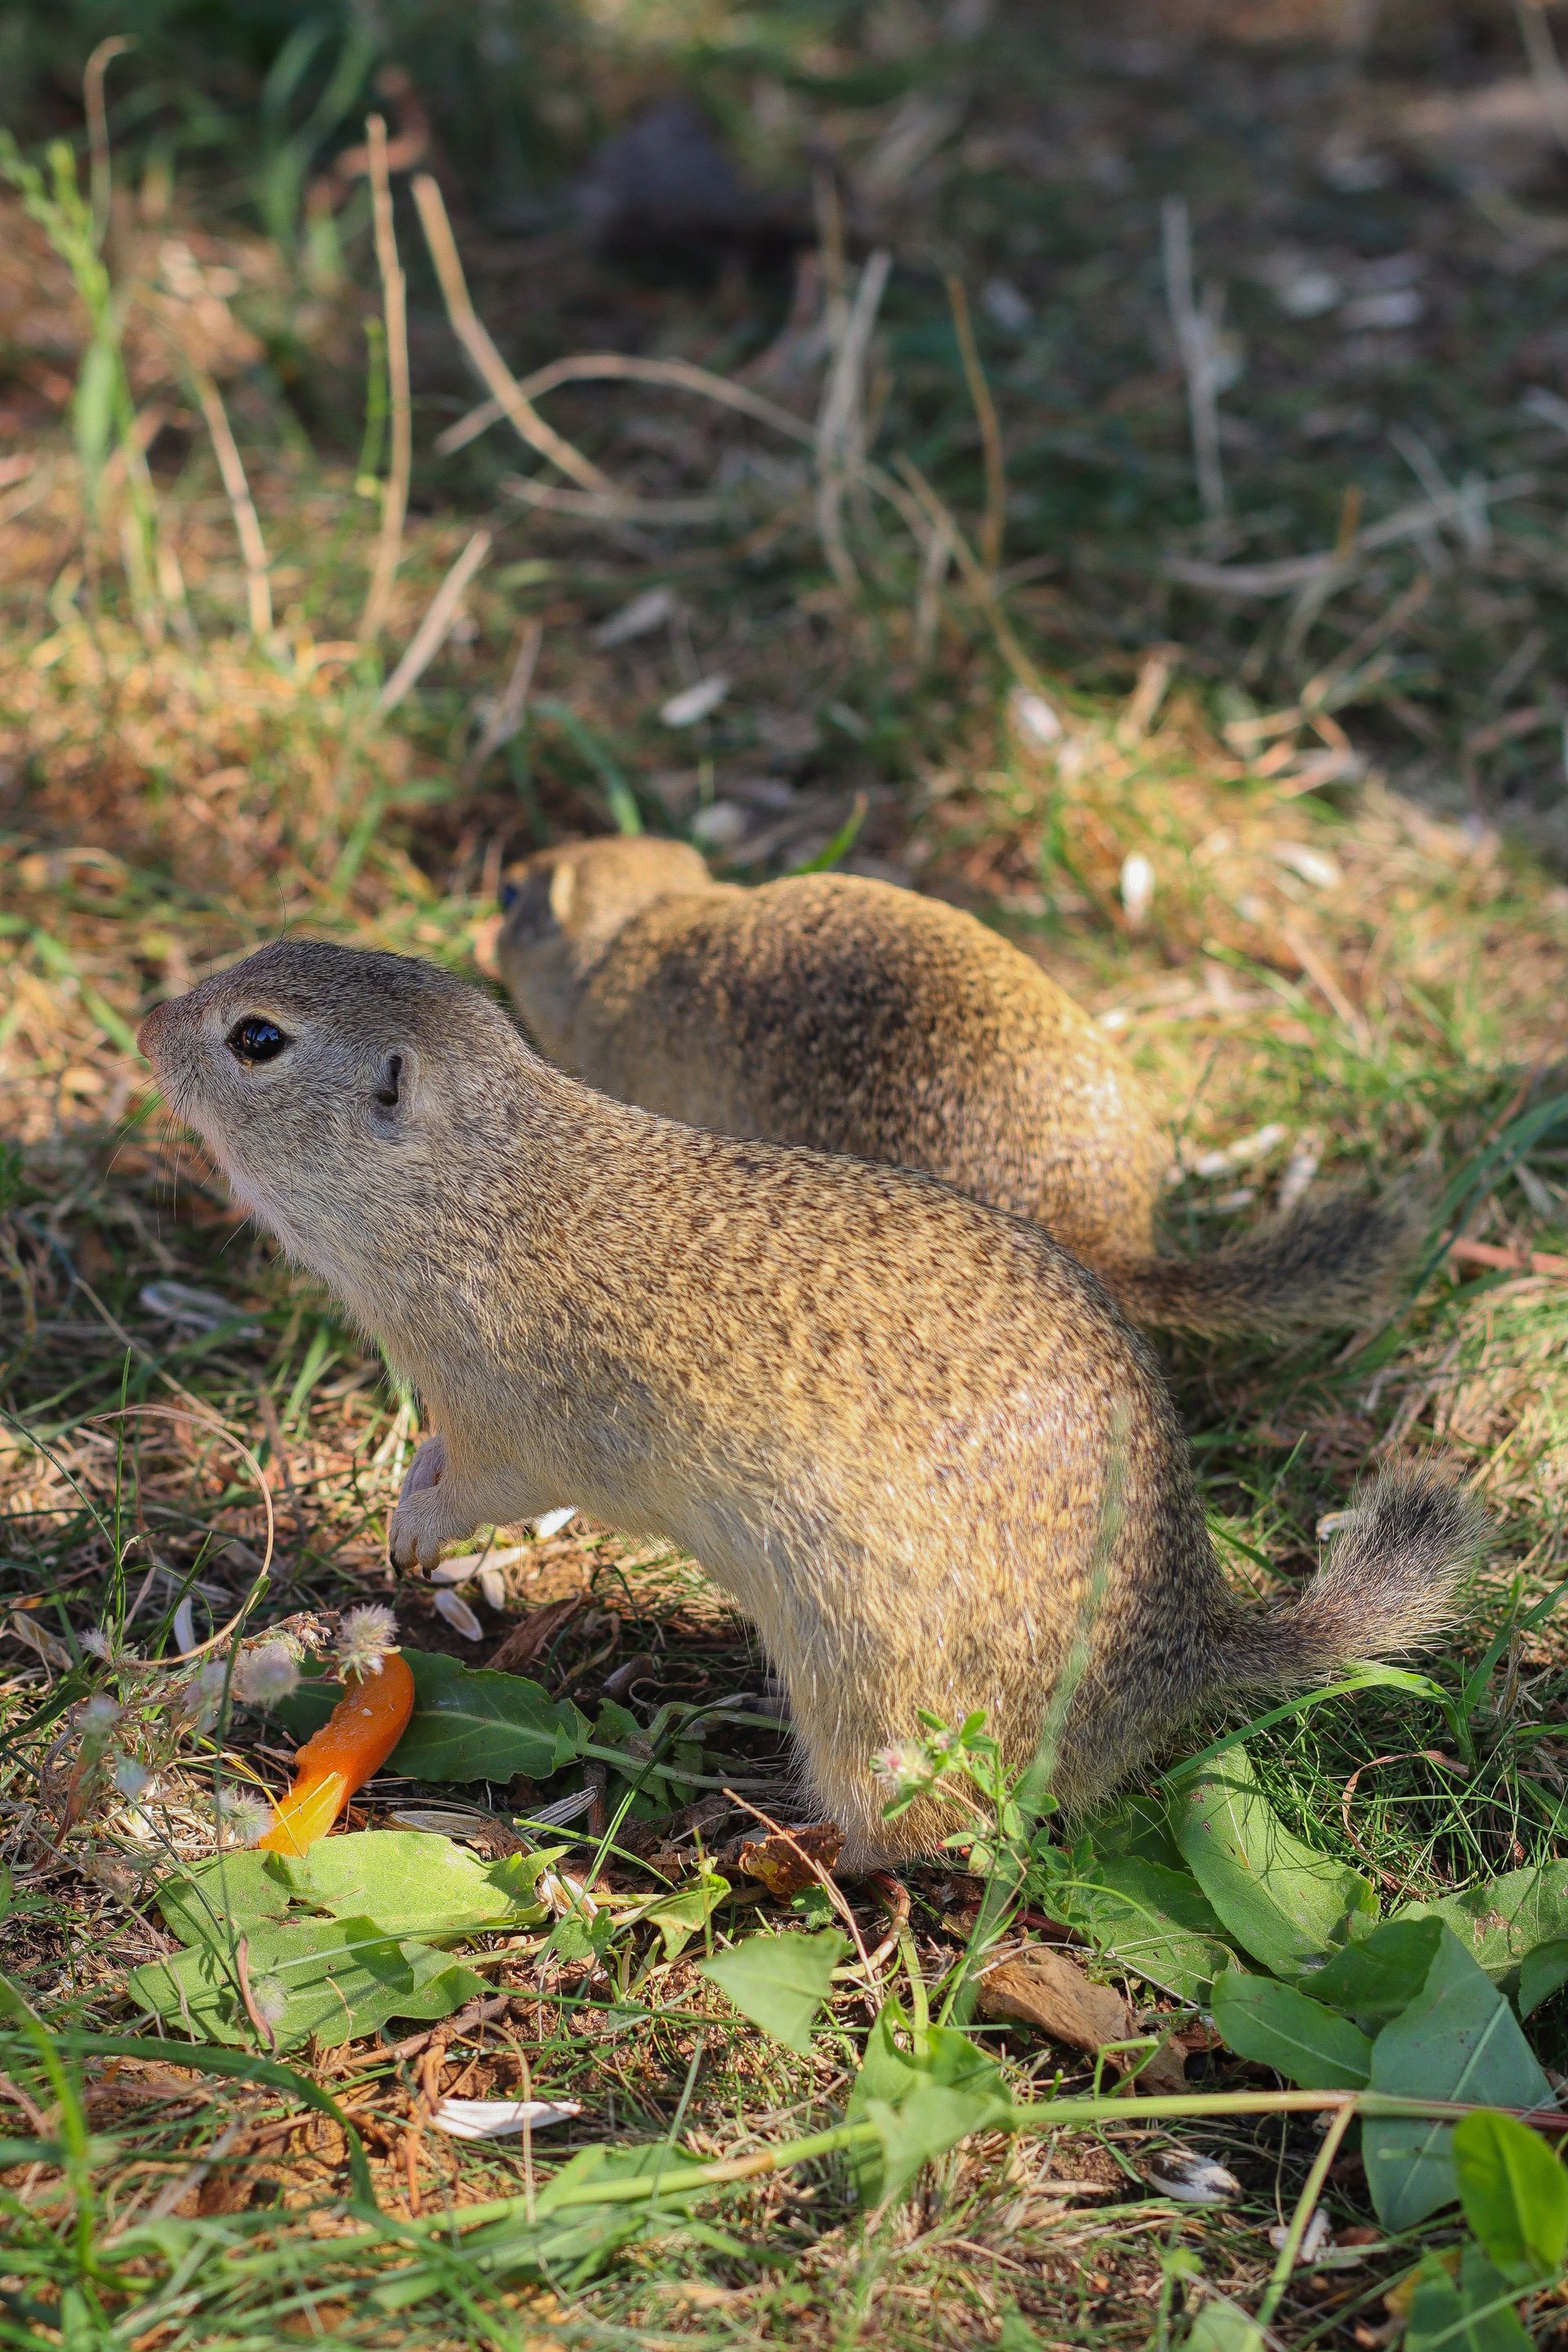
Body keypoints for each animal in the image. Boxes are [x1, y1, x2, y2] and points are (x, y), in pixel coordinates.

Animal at [137, 941, 1485, 1866]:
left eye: (256, 1039)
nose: (146, 1020)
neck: (486, 1189)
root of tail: (1185, 1654)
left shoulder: (516, 1414)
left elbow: (482, 1482)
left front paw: (414, 1525)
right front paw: (401, 1503)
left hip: (868, 1707)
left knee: (924, 1840)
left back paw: (776, 1848)